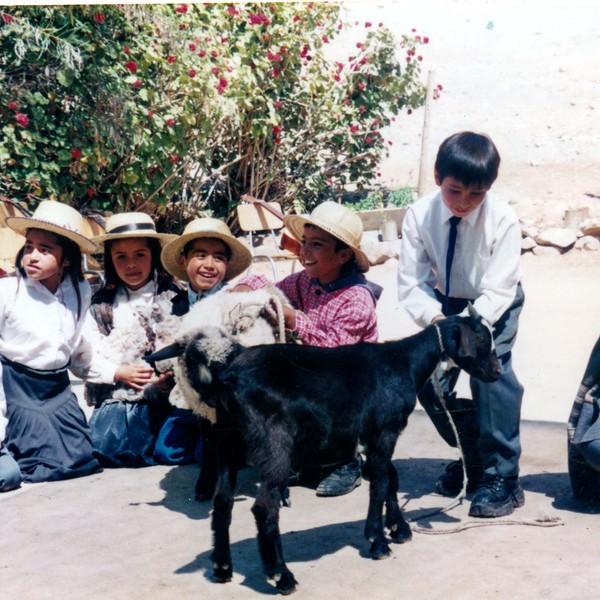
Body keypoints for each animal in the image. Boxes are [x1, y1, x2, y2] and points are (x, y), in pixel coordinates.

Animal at [148, 310, 500, 596]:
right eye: (482, 339)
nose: (496, 373)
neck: (405, 363)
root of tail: (226, 380)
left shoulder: (373, 437)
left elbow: (390, 478)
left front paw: (398, 529)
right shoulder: (385, 431)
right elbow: (380, 484)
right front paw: (378, 541)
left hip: (227, 444)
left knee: (222, 502)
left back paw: (222, 568)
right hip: (275, 447)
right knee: (264, 507)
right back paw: (281, 576)